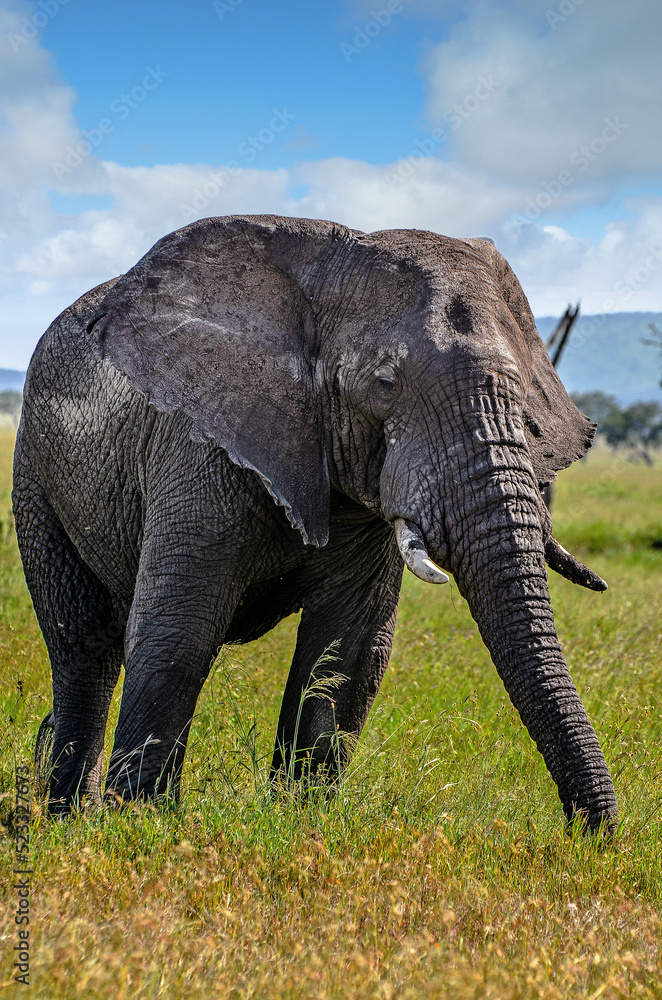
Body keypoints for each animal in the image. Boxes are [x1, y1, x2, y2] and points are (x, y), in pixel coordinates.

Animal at [13, 214, 617, 830]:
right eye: (385, 384)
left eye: (524, 403)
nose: (587, 834)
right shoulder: (196, 445)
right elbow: (177, 632)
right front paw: (141, 826)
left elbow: (348, 651)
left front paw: (300, 819)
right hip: (35, 469)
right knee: (83, 644)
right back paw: (64, 818)